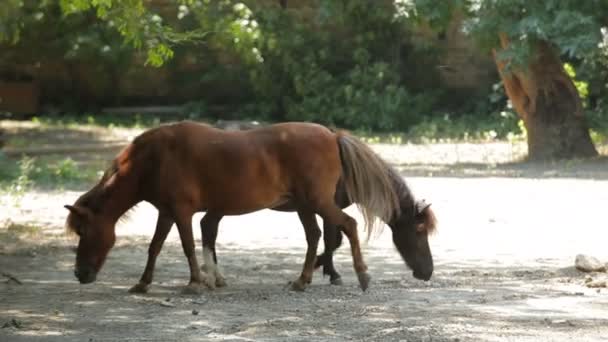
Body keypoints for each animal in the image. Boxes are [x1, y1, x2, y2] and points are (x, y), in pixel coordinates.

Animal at [64, 121, 430, 292]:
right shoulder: (167, 212)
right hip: (307, 205)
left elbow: (187, 246)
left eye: (84, 231)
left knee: (346, 227)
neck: (153, 158)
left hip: (317, 203)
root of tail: (332, 135)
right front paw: (143, 283)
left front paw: (195, 282)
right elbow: (155, 247)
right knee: (317, 236)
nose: (80, 274)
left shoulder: (181, 211)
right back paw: (302, 280)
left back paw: (361, 276)